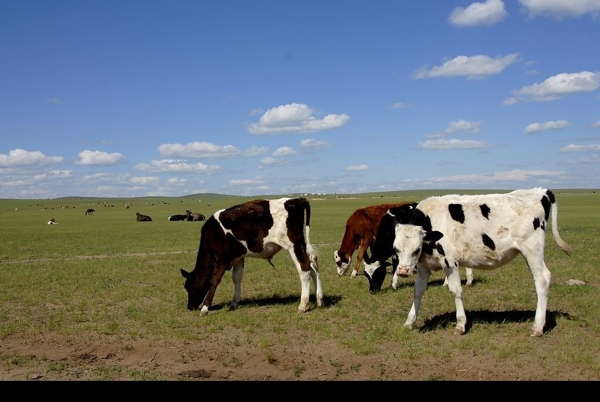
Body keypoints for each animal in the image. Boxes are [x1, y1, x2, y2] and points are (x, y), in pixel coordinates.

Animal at [180, 197, 324, 318]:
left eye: (189, 287)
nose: (189, 306)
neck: (212, 234)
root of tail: (295, 200)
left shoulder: (222, 258)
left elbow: (214, 280)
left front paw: (205, 308)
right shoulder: (238, 258)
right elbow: (237, 278)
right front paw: (234, 303)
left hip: (293, 245)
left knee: (304, 267)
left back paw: (303, 305)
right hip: (302, 243)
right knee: (313, 266)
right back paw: (319, 300)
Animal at [384, 188, 572, 336]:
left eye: (416, 249)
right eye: (396, 249)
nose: (402, 272)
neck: (432, 222)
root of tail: (541, 192)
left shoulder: (450, 262)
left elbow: (455, 291)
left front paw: (461, 324)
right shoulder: (423, 267)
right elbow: (418, 292)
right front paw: (409, 322)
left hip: (532, 251)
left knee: (542, 280)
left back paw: (538, 326)